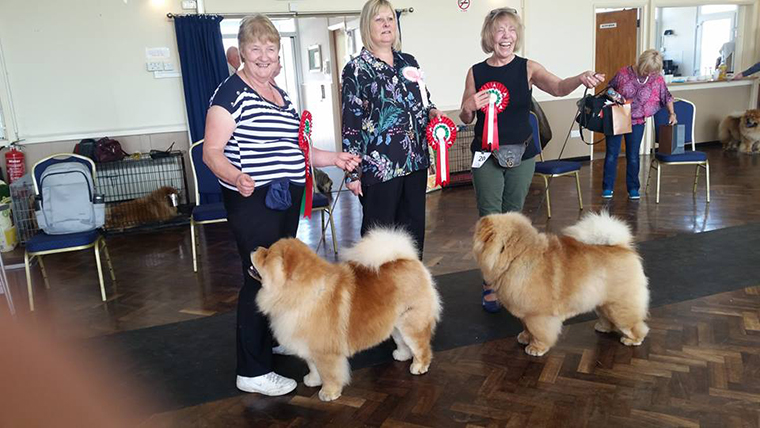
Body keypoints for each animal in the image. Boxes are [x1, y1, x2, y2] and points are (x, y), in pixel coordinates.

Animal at [251, 229, 440, 400]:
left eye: (266, 256)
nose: (254, 248)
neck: (302, 294)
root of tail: (408, 259)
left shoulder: (325, 351)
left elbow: (329, 374)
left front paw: (328, 393)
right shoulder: (310, 346)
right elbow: (313, 366)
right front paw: (312, 380)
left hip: (411, 323)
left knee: (421, 346)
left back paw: (419, 366)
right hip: (395, 324)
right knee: (403, 342)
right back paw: (401, 355)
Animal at [472, 212, 652, 356]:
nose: (478, 222)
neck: (516, 257)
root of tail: (623, 247)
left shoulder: (538, 315)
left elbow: (539, 332)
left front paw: (536, 348)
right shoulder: (525, 312)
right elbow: (526, 327)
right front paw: (524, 337)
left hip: (620, 305)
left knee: (635, 325)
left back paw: (633, 340)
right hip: (604, 302)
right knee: (608, 317)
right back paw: (603, 327)